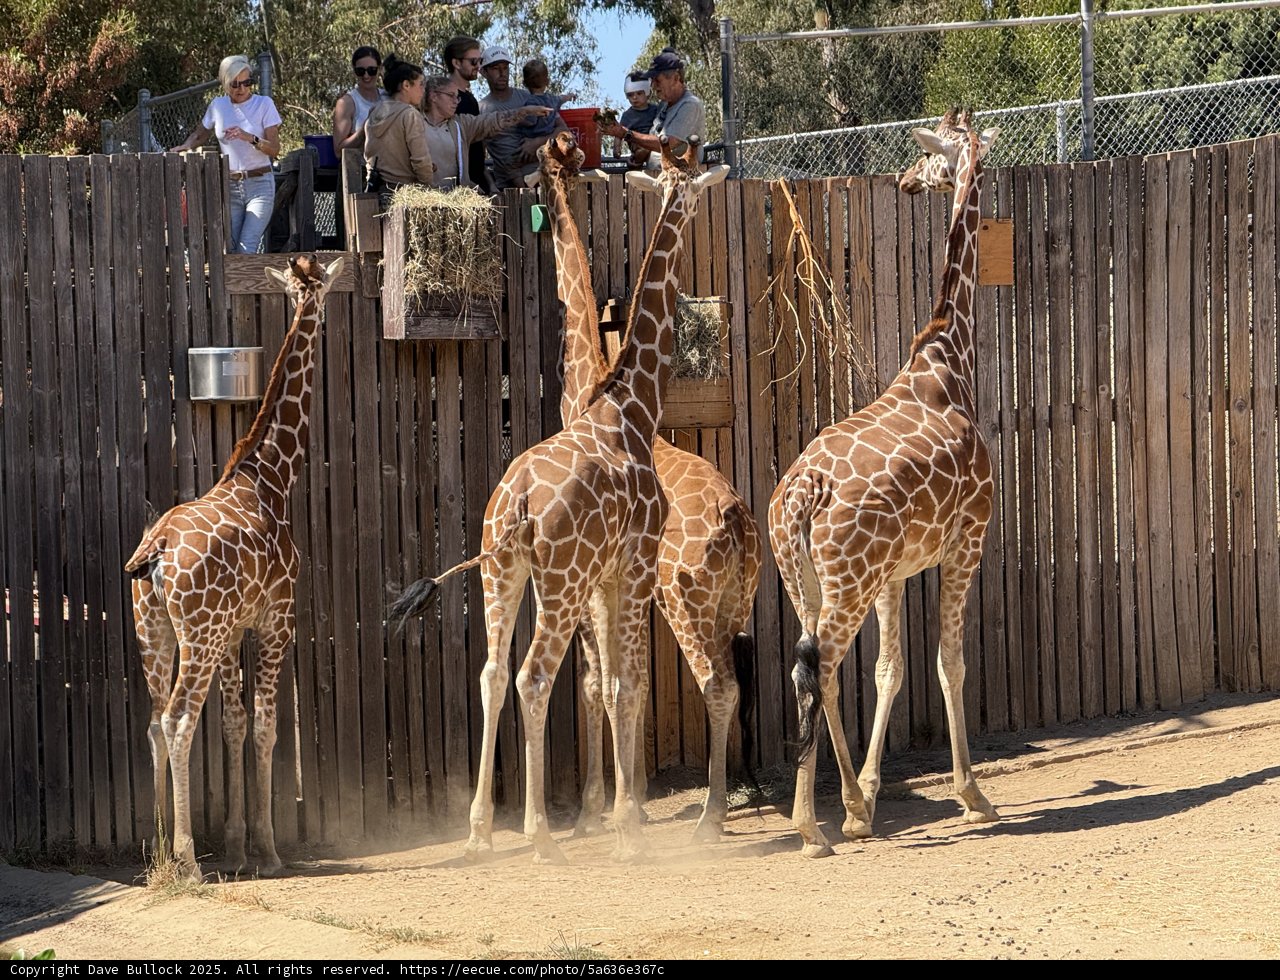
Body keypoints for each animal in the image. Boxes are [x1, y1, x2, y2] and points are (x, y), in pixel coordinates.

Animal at [126, 254, 343, 878]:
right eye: (323, 292)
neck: (270, 478)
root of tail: (156, 550)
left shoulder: (232, 631)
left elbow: (234, 724)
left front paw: (239, 845)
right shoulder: (276, 621)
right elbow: (266, 726)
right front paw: (267, 851)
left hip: (155, 630)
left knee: (153, 721)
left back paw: (157, 851)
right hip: (195, 636)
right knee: (177, 719)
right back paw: (186, 860)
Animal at [389, 141, 729, 864]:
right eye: (690, 188)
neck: (630, 404)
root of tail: (515, 503)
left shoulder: (608, 576)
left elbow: (611, 685)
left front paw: (619, 814)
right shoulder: (631, 566)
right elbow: (626, 685)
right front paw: (626, 825)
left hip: (503, 571)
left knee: (493, 673)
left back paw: (479, 832)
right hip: (562, 580)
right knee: (534, 676)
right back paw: (541, 834)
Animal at [528, 131, 761, 845]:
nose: (536, 169)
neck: (594, 385)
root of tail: (736, 524)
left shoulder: (603, 582)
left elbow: (599, 685)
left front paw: (604, 810)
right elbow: (620, 686)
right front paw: (619, 806)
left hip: (684, 601)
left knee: (713, 683)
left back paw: (708, 820)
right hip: (735, 601)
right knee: (747, 678)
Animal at [766, 109, 1001, 858]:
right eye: (934, 153)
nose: (905, 182)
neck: (948, 356)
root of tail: (801, 495)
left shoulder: (897, 571)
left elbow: (889, 669)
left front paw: (868, 796)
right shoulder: (967, 538)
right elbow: (950, 662)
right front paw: (973, 795)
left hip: (808, 580)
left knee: (814, 667)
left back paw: (841, 809)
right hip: (848, 580)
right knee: (817, 667)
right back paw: (809, 826)